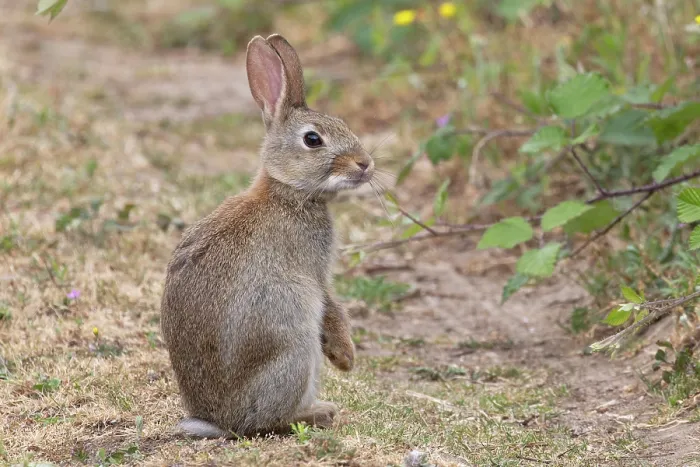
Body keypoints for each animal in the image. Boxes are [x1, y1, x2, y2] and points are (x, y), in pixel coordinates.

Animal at [160, 33, 375, 439]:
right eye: (313, 139)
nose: (365, 164)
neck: (288, 191)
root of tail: (221, 421)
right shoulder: (313, 271)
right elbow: (332, 306)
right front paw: (345, 357)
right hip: (294, 343)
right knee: (270, 421)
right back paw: (318, 413)